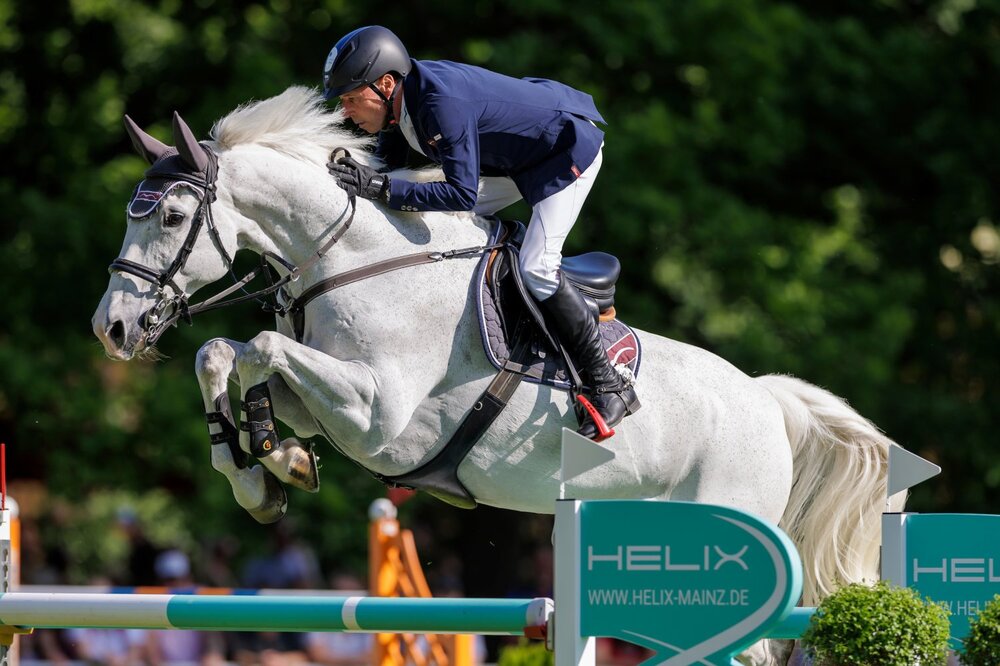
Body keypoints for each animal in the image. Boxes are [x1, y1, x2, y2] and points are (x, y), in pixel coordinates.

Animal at [93, 86, 904, 663]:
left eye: (170, 217)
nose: (113, 329)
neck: (353, 259)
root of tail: (767, 402)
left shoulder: (379, 416)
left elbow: (259, 344)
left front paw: (268, 454)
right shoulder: (333, 401)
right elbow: (225, 353)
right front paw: (267, 465)